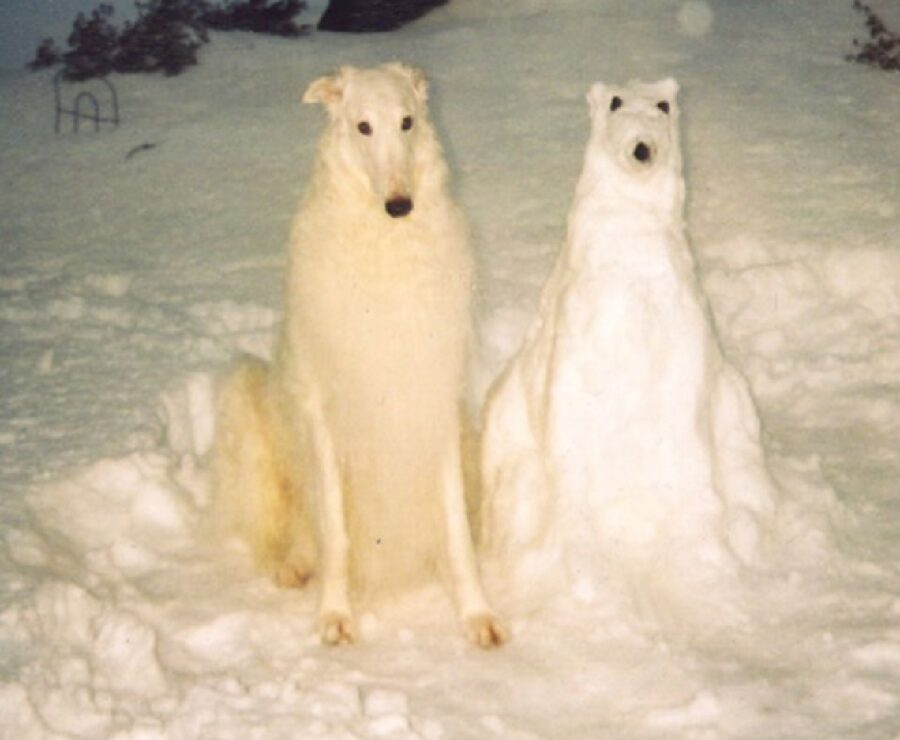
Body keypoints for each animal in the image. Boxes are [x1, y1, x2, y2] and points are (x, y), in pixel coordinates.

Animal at [213, 62, 506, 648]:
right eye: (362, 126)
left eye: (407, 122)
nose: (400, 206)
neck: (384, 253)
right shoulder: (325, 417)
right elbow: (337, 535)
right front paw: (335, 615)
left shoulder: (433, 403)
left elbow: (456, 533)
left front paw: (476, 614)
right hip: (243, 393)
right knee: (281, 534)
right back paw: (293, 564)